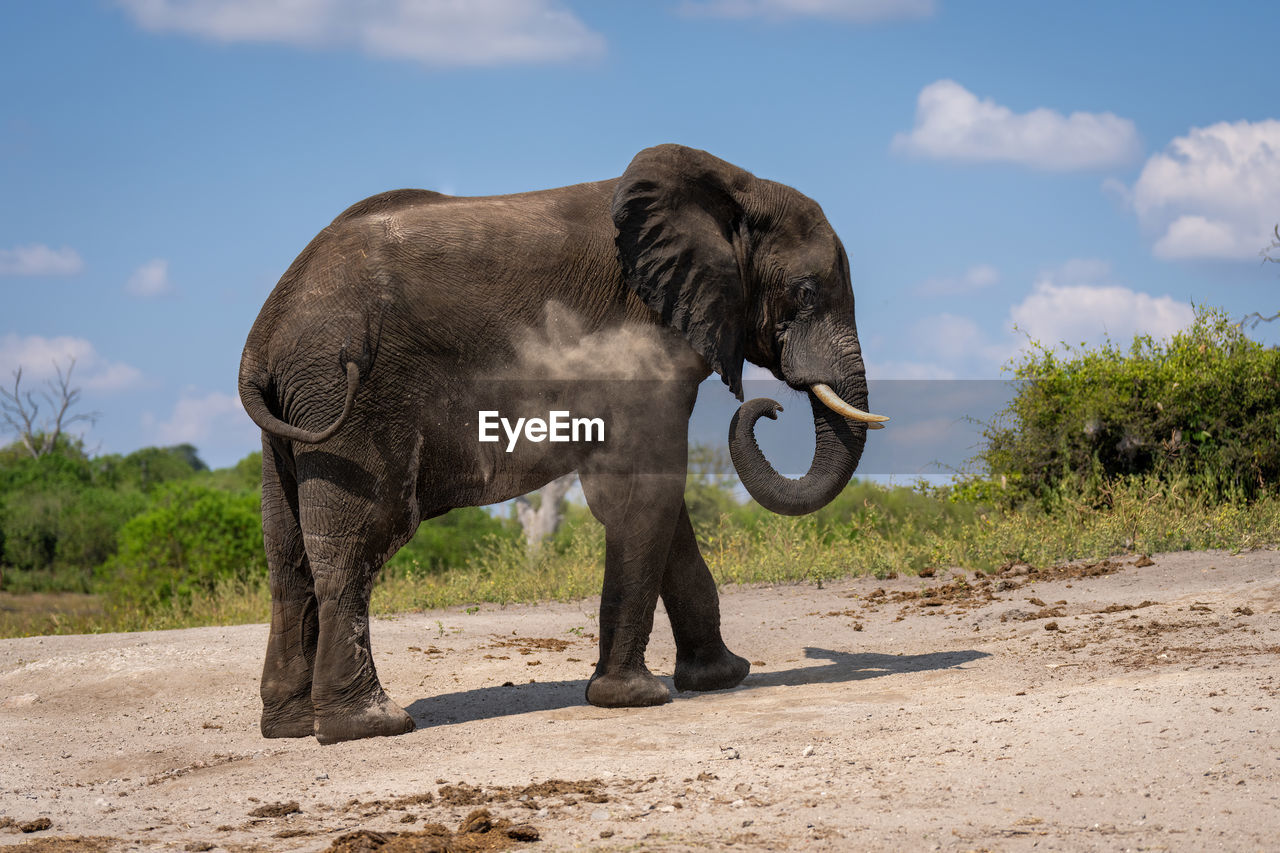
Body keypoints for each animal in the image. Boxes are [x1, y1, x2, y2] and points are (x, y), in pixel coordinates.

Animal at [235, 142, 885, 742]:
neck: (734, 189)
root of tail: (264, 331)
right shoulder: (636, 341)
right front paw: (635, 698)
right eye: (806, 293)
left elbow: (660, 505)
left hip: (295, 413)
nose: (769, 408)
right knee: (356, 543)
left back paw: (291, 727)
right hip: (351, 402)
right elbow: (641, 495)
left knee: (285, 555)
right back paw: (370, 725)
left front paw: (722, 679)